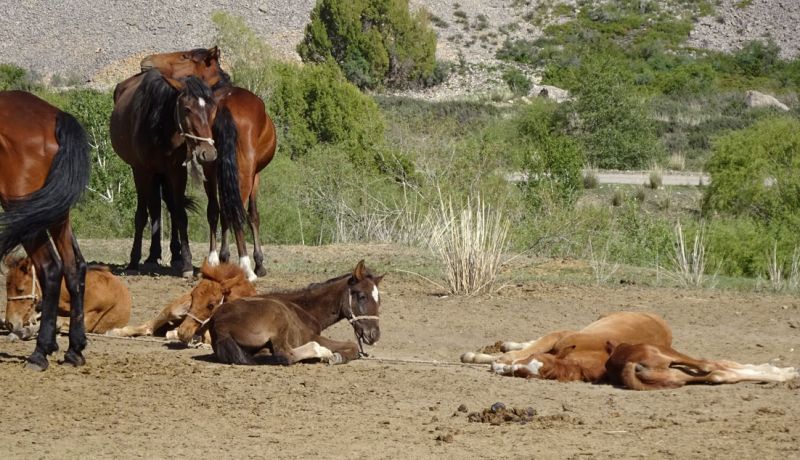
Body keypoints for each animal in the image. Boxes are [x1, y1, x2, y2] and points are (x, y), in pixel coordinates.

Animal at [0, 90, 91, 370]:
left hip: (28, 213)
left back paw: (40, 352)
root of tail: (54, 116)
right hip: (55, 213)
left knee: (51, 268)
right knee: (74, 266)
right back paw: (74, 349)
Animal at [106, 260, 255, 344]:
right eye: (193, 296)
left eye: (211, 305)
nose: (183, 332)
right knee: (149, 325)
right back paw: (115, 332)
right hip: (173, 310)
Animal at [142, 49, 280, 280]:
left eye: (184, 56)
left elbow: (220, 212)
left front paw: (222, 257)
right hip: (243, 172)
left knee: (217, 210)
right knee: (237, 211)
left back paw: (214, 259)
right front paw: (259, 263)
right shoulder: (255, 175)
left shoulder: (216, 167)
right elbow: (252, 215)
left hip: (212, 167)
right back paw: (246, 266)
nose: (146, 62)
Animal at [209, 260, 384, 364]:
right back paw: (322, 352)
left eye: (379, 300)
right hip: (279, 318)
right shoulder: (310, 336)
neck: (304, 308)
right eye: (362, 296)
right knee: (285, 355)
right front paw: (336, 356)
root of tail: (219, 325)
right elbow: (353, 346)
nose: (374, 335)